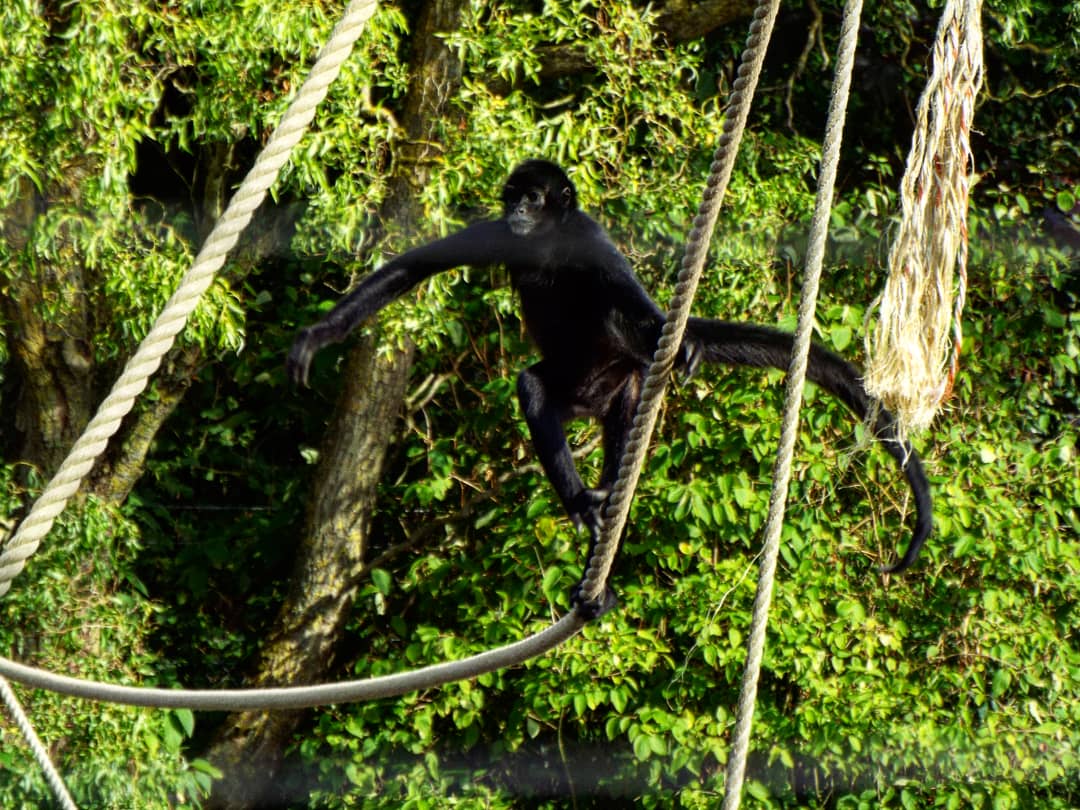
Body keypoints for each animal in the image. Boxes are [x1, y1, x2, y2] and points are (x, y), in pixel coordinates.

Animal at [288, 159, 932, 617]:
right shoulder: (504, 235)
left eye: (532, 197)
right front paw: (317, 336)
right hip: (585, 388)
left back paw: (592, 520)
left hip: (620, 382)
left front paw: (679, 340)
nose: (517, 208)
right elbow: (411, 267)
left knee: (578, 385)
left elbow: (630, 296)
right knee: (537, 389)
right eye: (511, 197)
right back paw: (589, 516)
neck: (547, 242)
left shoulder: (591, 241)